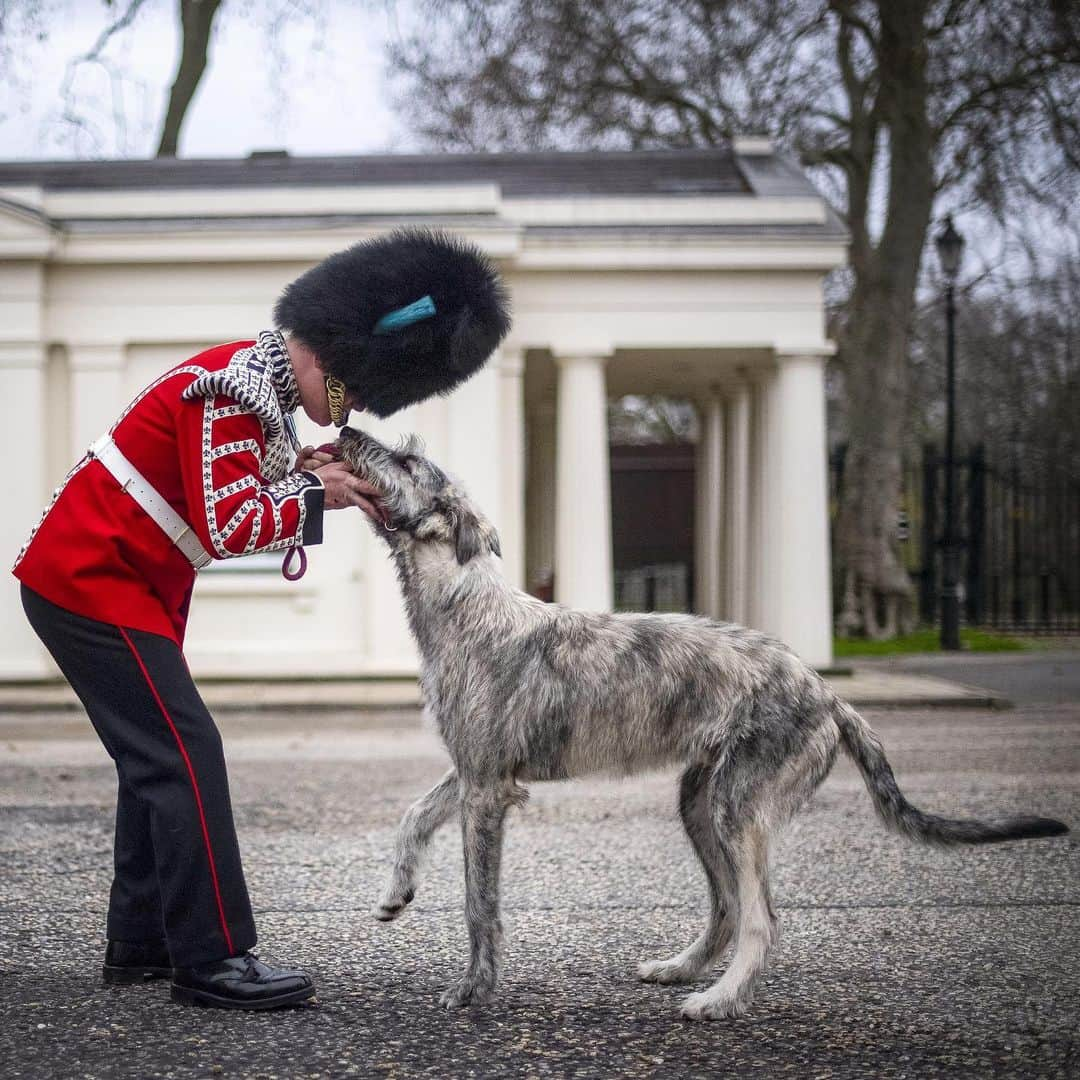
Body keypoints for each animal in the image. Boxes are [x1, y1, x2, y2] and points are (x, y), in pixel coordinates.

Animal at [334, 423, 1062, 1019]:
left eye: (406, 459)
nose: (344, 429)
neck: (468, 607)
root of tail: (827, 694)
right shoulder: (475, 770)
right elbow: (414, 813)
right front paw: (397, 890)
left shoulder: (488, 788)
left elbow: (478, 902)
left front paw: (473, 989)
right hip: (700, 802)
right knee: (729, 905)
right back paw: (683, 968)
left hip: (741, 807)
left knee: (762, 916)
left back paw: (718, 999)